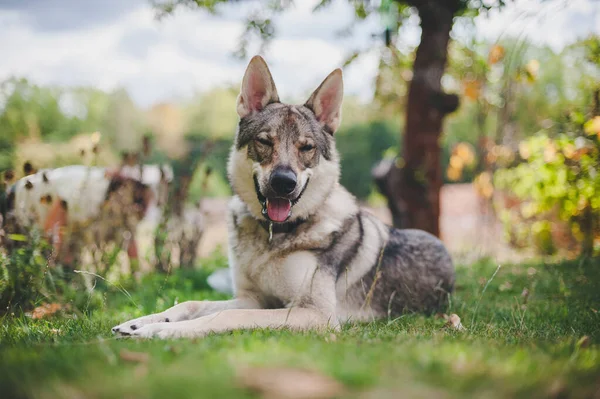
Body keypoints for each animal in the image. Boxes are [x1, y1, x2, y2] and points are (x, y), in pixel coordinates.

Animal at [111, 54, 454, 340]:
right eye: (265, 142)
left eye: (306, 148)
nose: (283, 183)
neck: (272, 239)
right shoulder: (252, 298)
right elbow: (192, 304)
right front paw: (140, 323)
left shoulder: (316, 314)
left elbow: (224, 316)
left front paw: (162, 331)